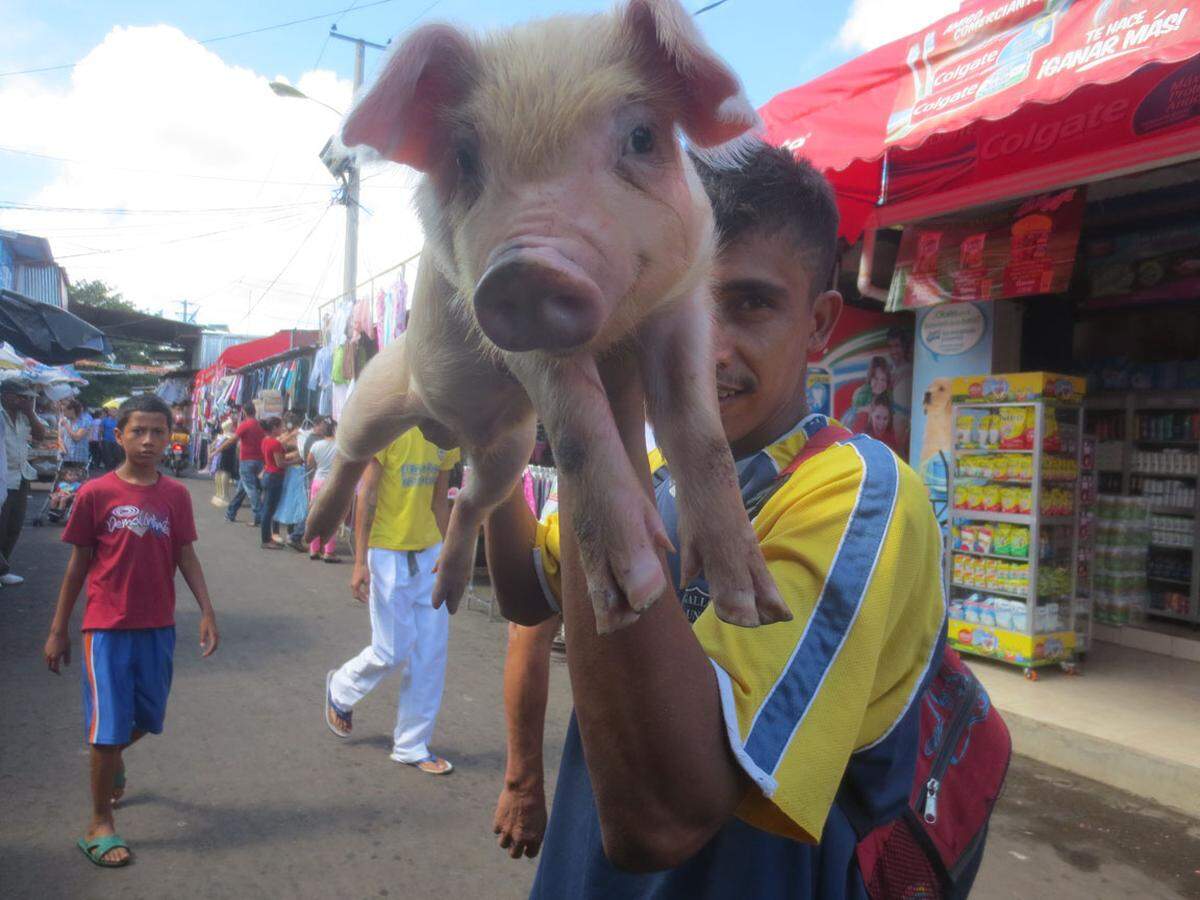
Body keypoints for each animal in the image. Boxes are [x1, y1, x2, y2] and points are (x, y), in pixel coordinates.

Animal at [304, 0, 787, 633]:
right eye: (464, 158)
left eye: (642, 136)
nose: (526, 268)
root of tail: (447, 430)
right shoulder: (513, 337)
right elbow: (578, 427)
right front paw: (633, 599)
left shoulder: (683, 305)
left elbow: (701, 434)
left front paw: (754, 610)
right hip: (385, 386)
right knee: (352, 448)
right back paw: (315, 528)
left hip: (507, 449)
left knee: (470, 501)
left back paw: (445, 597)